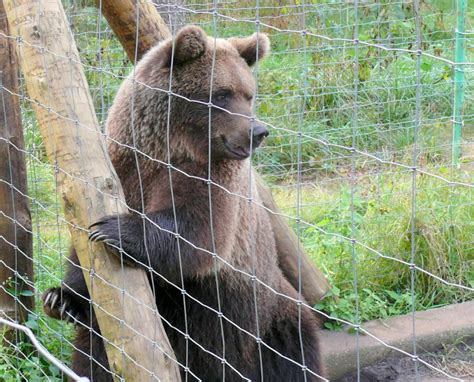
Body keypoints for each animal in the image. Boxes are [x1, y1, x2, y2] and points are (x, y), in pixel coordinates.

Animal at [42, 25, 324, 380]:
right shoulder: (124, 166)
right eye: (222, 94)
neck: (166, 148)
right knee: (94, 358)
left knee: (291, 352)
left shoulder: (209, 176)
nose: (258, 131)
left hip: (264, 319)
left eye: (249, 94)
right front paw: (60, 298)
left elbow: (197, 231)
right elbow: (82, 254)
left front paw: (114, 229)